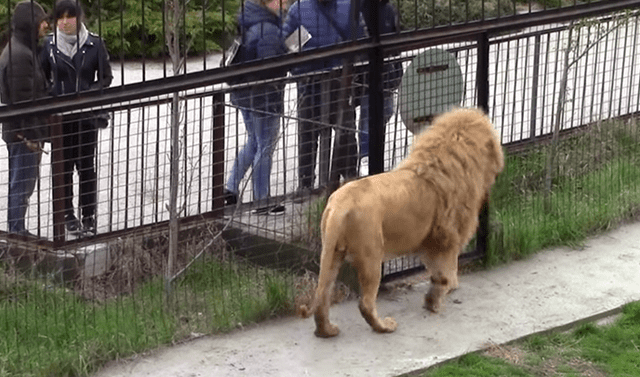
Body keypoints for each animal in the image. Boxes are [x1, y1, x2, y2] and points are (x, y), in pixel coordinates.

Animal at [300, 107, 504, 336]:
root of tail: (339, 206)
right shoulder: (447, 236)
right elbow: (446, 268)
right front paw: (440, 295)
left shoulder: (433, 240)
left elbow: (440, 269)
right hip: (371, 256)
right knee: (365, 303)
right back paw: (384, 326)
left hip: (331, 252)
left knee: (322, 297)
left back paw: (326, 330)